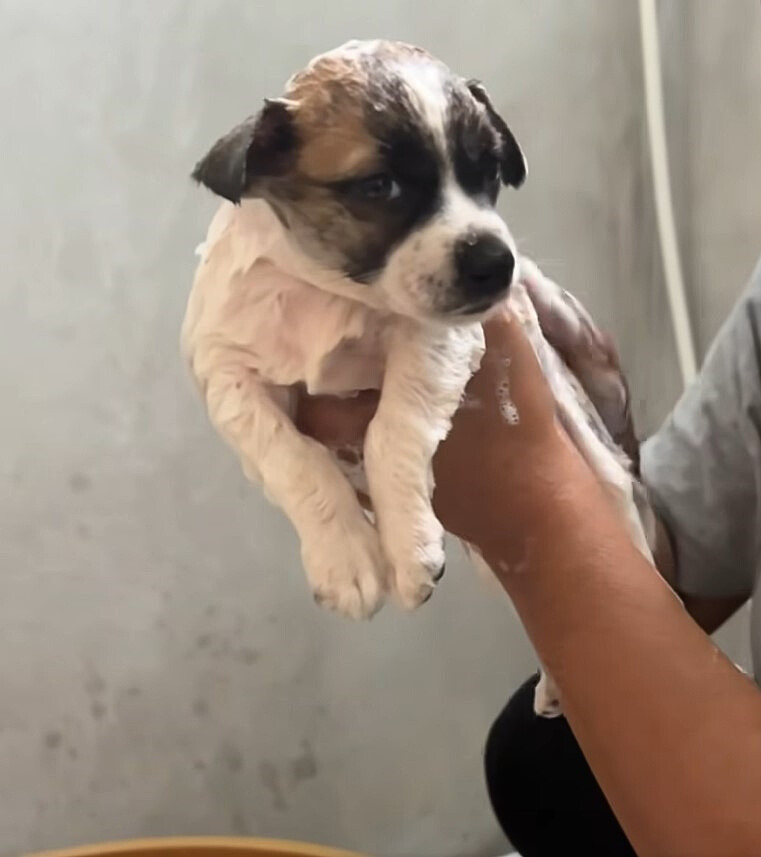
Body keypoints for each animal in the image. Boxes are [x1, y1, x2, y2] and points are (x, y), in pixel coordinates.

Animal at [180, 38, 652, 716]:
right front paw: (343, 555)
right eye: (381, 186)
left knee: (616, 514)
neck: (334, 293)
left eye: (489, 175)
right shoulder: (226, 371)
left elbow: (393, 428)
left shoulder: (441, 339)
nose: (498, 262)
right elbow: (292, 460)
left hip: (589, 440)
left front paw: (408, 544)